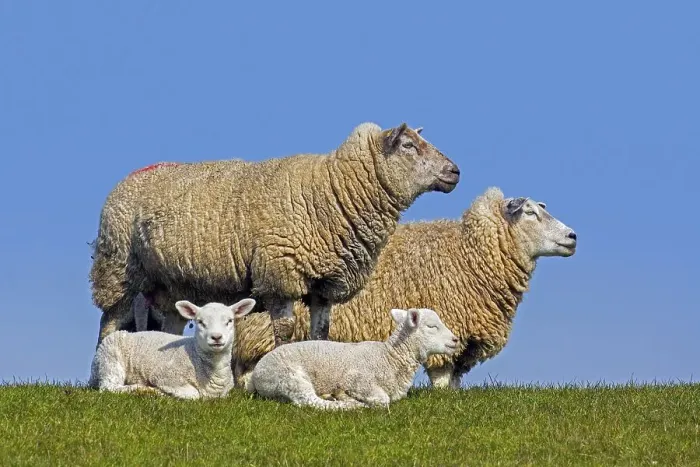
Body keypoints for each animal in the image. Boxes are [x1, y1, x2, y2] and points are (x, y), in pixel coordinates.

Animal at [88, 298, 256, 399]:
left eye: (230, 321)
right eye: (200, 322)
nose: (216, 337)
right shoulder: (165, 376)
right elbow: (194, 395)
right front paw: (162, 392)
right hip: (110, 360)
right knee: (110, 387)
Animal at [89, 122, 460, 351]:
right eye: (409, 145)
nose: (455, 171)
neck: (332, 190)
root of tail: (130, 178)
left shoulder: (324, 283)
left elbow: (320, 331)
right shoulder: (279, 271)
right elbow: (285, 330)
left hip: (169, 284)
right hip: (119, 268)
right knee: (110, 319)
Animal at [232, 187, 577, 389]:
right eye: (530, 212)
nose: (573, 237)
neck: (468, 252)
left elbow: (455, 381)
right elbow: (442, 376)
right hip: (259, 330)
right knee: (247, 368)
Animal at [245, 307, 458, 410]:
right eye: (432, 327)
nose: (455, 340)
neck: (389, 357)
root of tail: (255, 376)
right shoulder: (357, 379)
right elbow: (382, 400)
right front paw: (352, 398)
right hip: (289, 376)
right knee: (309, 401)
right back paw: (349, 404)